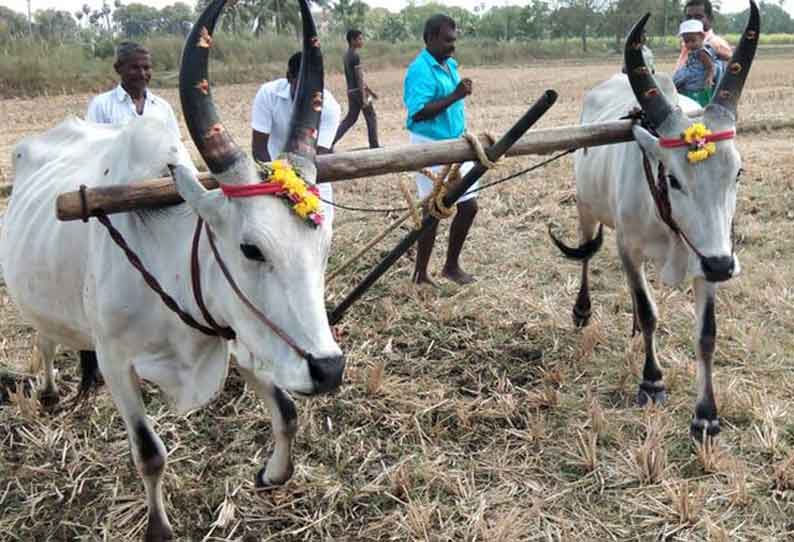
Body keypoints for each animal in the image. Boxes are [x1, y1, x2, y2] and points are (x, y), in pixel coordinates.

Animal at [0, 2, 338, 540]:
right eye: (251, 249)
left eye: (324, 245)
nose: (328, 369)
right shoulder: (119, 362)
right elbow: (150, 454)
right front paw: (158, 528)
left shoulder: (242, 331)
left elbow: (286, 412)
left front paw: (271, 474)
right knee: (46, 339)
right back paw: (51, 392)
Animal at [548, 1, 756, 442]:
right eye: (672, 178)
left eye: (738, 172)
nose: (722, 266)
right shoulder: (629, 246)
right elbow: (649, 312)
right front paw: (652, 380)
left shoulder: (707, 252)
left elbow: (706, 334)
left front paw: (705, 415)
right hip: (585, 208)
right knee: (587, 254)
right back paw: (582, 311)